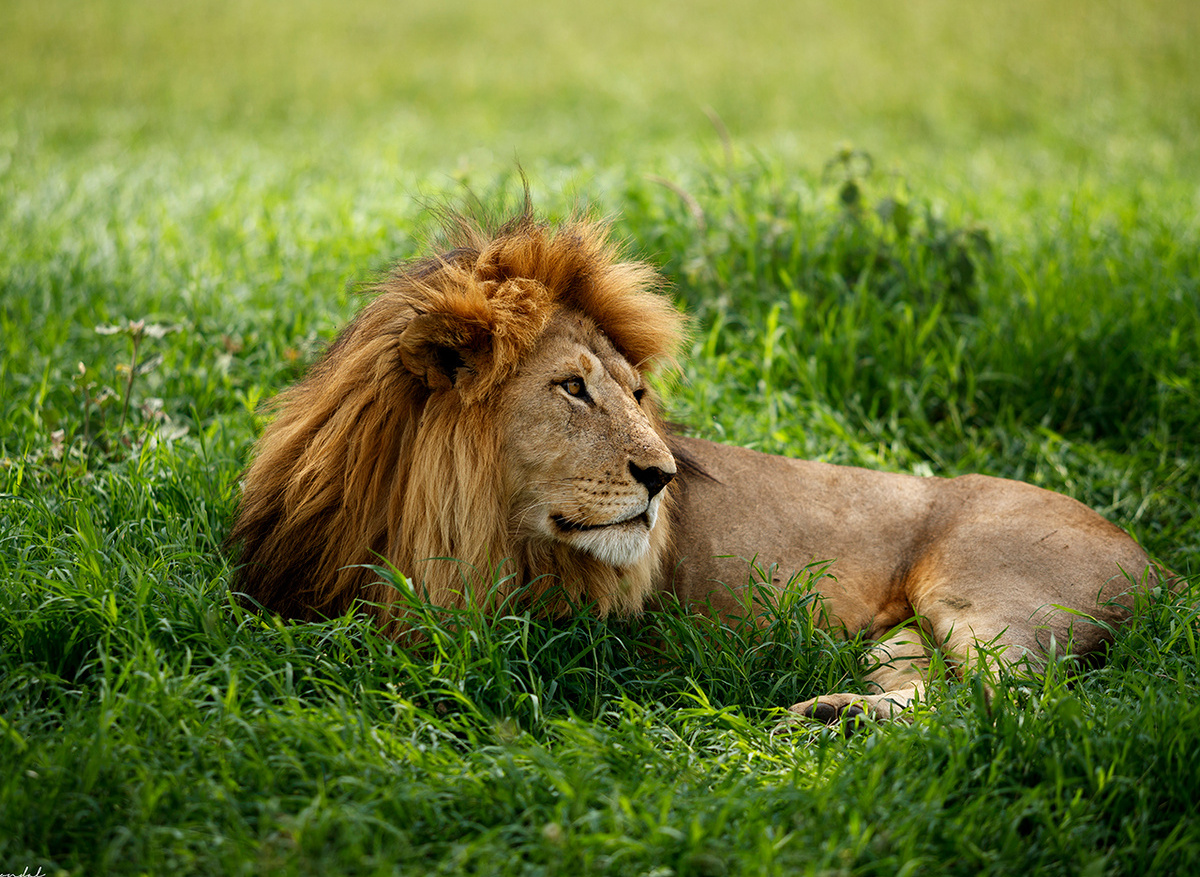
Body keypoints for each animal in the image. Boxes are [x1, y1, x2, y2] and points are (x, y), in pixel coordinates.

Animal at [228, 206, 1174, 725]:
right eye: (573, 387)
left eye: (638, 393)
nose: (663, 478)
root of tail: (1162, 565)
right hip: (897, 642)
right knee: (945, 697)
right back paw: (832, 720)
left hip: (987, 591)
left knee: (1014, 703)